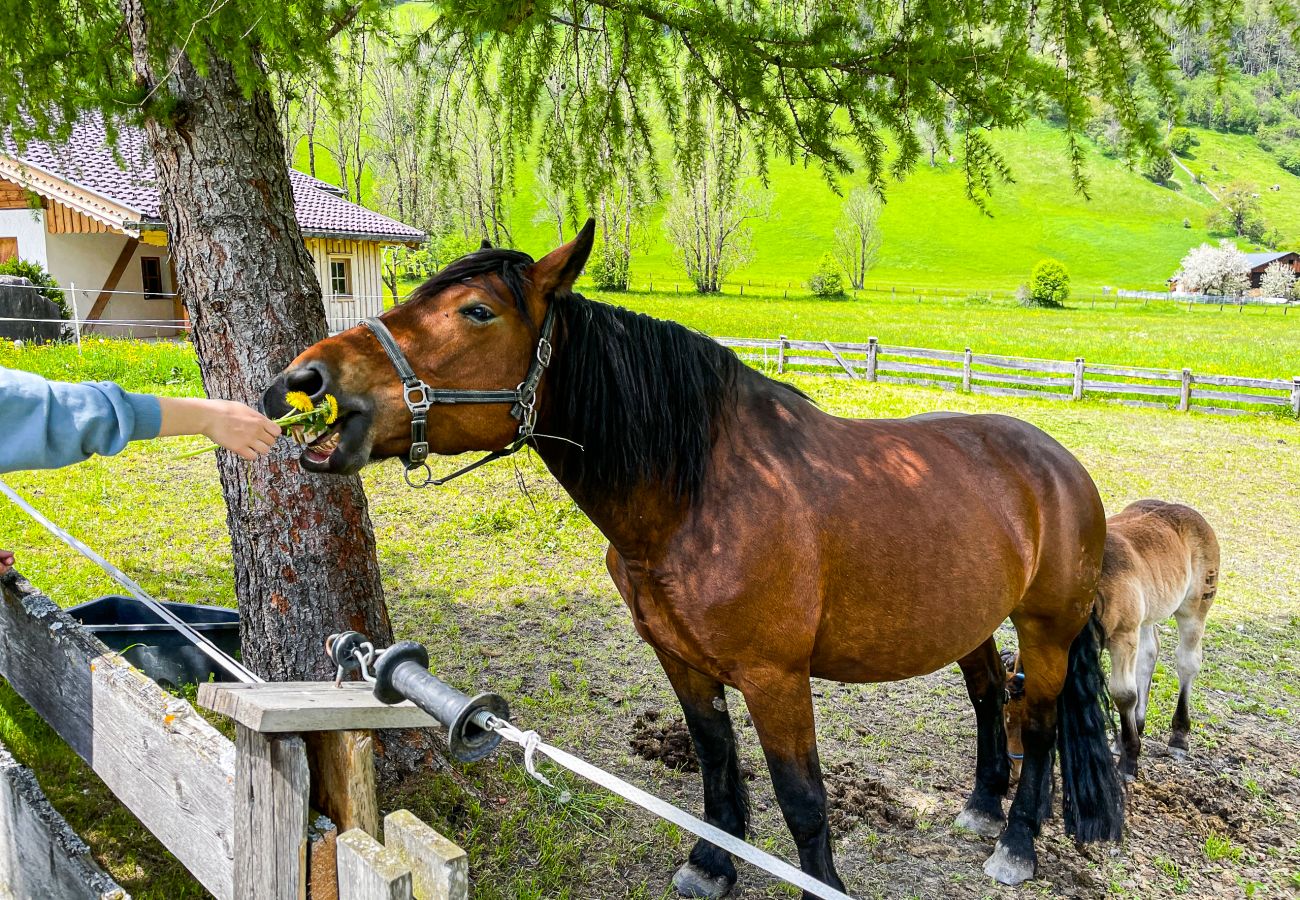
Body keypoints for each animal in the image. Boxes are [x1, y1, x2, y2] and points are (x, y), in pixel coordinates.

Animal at [261, 221, 1118, 894]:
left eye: (476, 311)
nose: (305, 380)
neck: (697, 495)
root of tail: (1061, 466)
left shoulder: (777, 679)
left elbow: (803, 801)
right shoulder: (681, 662)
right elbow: (714, 765)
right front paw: (713, 865)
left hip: (1047, 630)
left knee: (1039, 724)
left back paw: (1016, 845)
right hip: (970, 623)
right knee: (989, 698)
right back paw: (982, 807)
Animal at [1003, 499, 1216, 780]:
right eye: (1005, 719)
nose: (1015, 772)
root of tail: (1185, 510)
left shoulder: (1123, 636)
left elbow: (1124, 694)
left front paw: (1129, 760)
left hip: (1194, 608)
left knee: (1187, 663)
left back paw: (1178, 738)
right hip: (1146, 613)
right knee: (1149, 653)